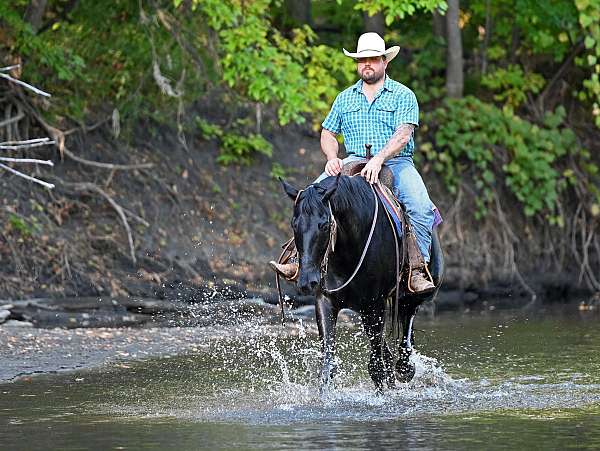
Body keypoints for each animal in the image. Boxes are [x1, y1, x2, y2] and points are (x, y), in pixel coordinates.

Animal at [280, 175, 440, 394]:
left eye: (324, 225)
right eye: (294, 224)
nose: (307, 281)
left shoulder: (375, 304)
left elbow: (376, 366)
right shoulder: (325, 301)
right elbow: (328, 364)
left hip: (407, 296)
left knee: (406, 322)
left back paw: (405, 368)